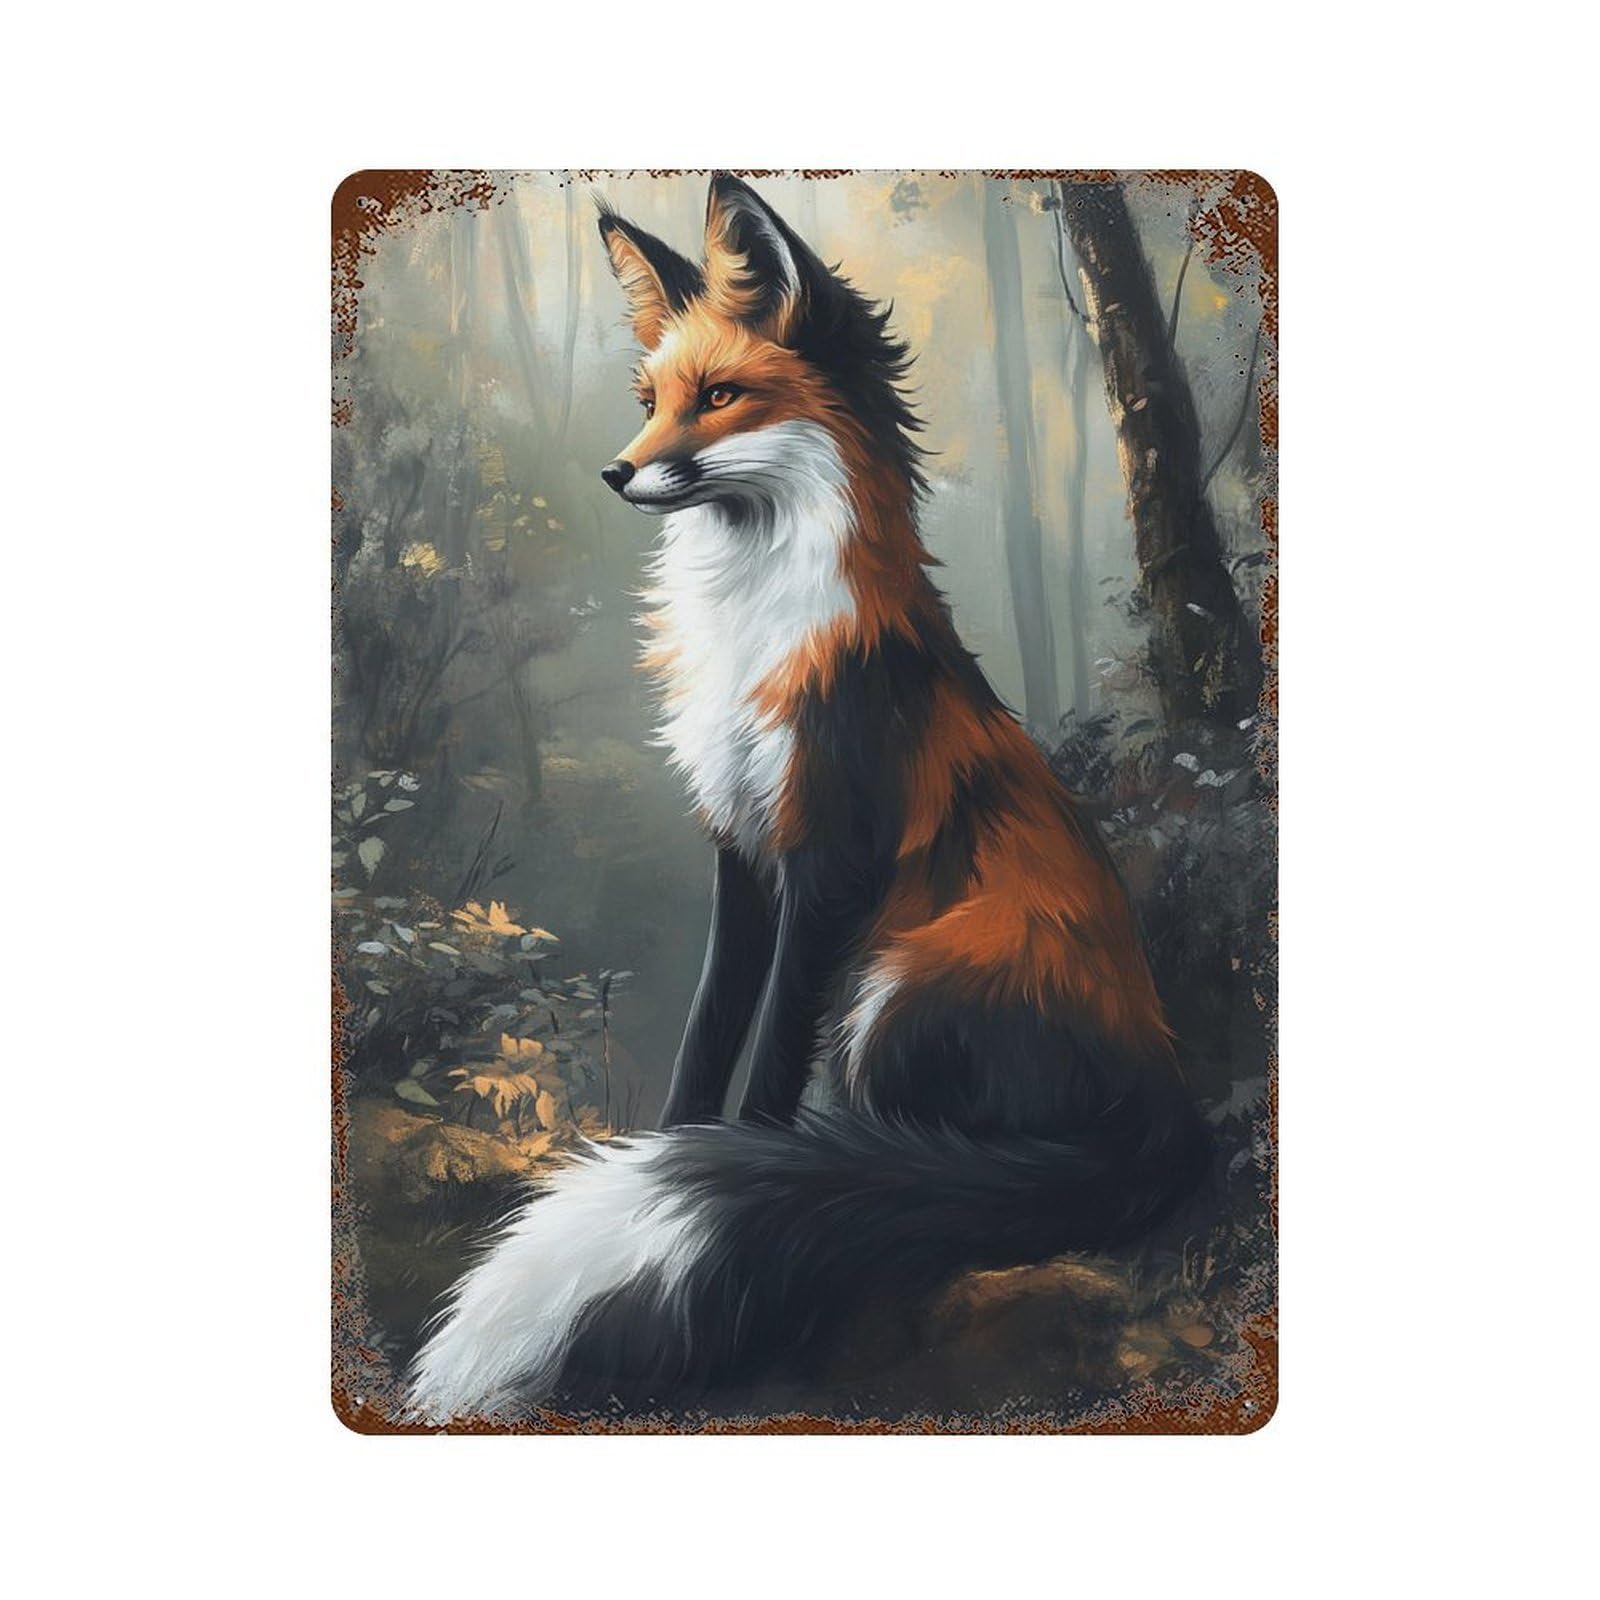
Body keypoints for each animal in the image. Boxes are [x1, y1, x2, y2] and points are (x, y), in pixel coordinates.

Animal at [407, 175, 1209, 1420]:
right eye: (651, 399)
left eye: (721, 397)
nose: (616, 472)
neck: (753, 634)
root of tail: (1168, 1103)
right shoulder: (738, 850)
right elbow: (705, 1038)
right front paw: (672, 1147)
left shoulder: (830, 860)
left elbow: (772, 1061)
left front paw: (739, 1166)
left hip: (899, 981)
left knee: (936, 1160)